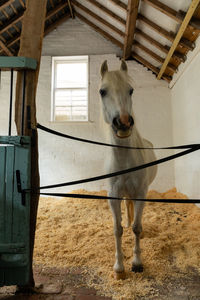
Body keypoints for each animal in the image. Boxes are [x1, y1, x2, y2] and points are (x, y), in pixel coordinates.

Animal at [99, 59, 157, 280]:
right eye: (102, 91)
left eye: (130, 90)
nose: (123, 123)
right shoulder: (113, 195)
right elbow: (117, 229)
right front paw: (119, 267)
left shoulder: (140, 193)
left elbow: (137, 228)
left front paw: (137, 263)